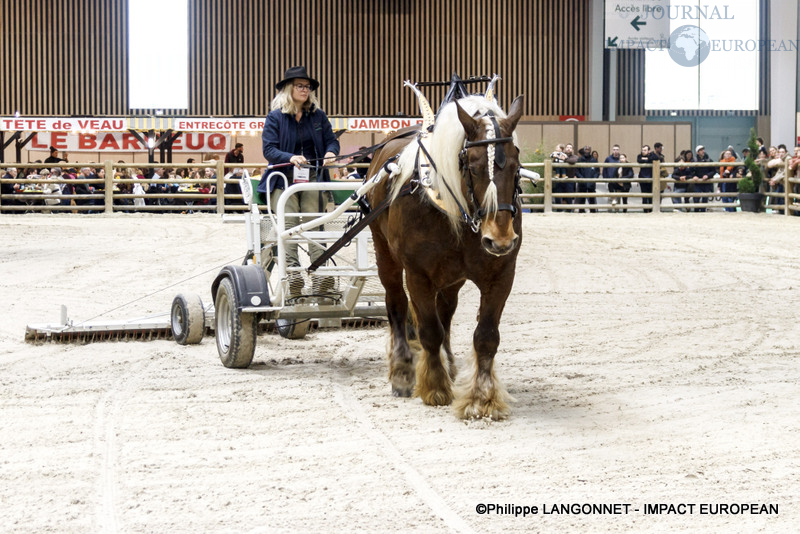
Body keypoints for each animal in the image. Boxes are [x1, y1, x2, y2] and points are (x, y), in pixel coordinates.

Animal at [364, 92, 524, 420]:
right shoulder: (418, 275)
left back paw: (448, 365)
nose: (500, 239)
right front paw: (435, 386)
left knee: (446, 312)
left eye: (516, 166)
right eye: (473, 166)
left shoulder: (502, 274)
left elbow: (486, 336)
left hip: (452, 277)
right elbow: (428, 330)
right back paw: (403, 371)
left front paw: (482, 397)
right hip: (385, 254)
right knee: (396, 305)